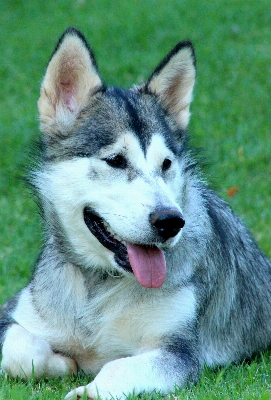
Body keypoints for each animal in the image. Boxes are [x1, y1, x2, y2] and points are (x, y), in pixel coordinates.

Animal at [0, 26, 271, 398]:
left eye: (166, 164)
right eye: (116, 160)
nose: (170, 221)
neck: (100, 285)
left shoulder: (179, 352)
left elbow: (119, 366)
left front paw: (87, 390)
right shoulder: (12, 314)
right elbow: (21, 353)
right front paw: (63, 363)